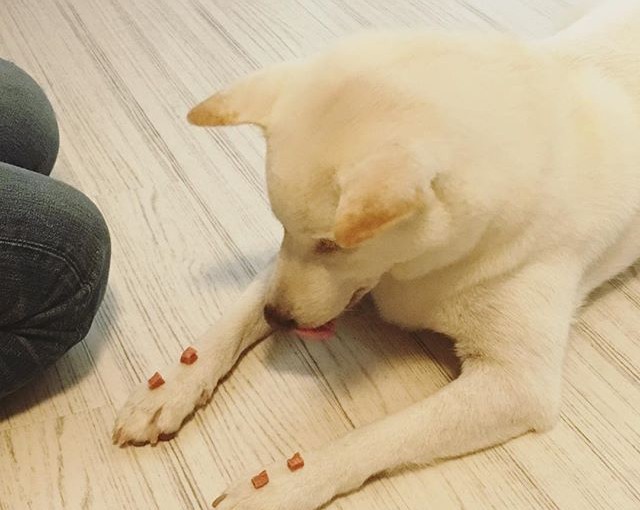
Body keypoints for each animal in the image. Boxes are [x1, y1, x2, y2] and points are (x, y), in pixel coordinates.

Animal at [114, 1, 640, 508]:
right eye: (282, 227)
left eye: (333, 244)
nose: (278, 318)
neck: (419, 267)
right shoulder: (285, 269)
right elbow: (229, 324)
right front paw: (171, 387)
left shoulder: (516, 385)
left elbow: (376, 436)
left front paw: (288, 484)